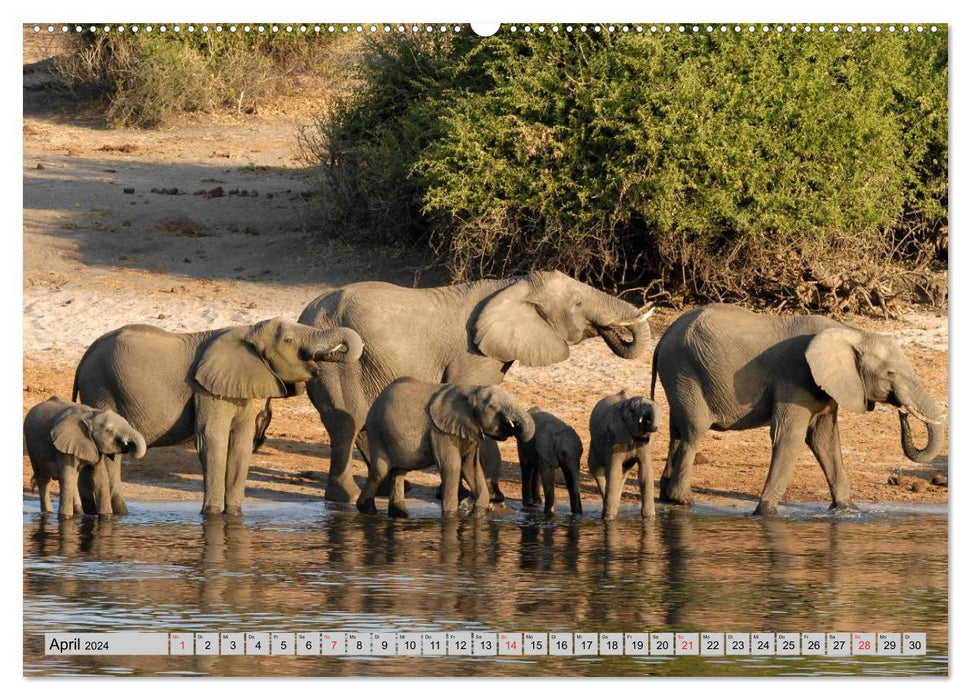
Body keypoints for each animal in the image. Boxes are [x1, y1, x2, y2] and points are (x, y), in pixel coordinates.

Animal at [74, 318, 364, 516]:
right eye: (289, 341)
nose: (330, 354)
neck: (248, 331)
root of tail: (85, 356)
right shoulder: (206, 390)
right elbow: (212, 441)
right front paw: (211, 516)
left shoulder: (239, 388)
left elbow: (241, 444)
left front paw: (234, 516)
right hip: (100, 387)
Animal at [296, 270, 652, 504]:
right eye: (578, 303)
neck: (511, 285)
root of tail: (306, 313)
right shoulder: (473, 353)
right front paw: (481, 497)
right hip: (337, 364)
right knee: (346, 423)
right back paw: (345, 498)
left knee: (362, 424)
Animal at [358, 378, 540, 520]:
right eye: (492, 406)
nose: (514, 426)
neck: (472, 390)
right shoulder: (440, 430)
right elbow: (452, 466)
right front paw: (451, 517)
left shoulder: (470, 429)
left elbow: (471, 467)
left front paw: (477, 515)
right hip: (377, 430)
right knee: (380, 471)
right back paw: (366, 510)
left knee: (399, 472)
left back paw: (399, 514)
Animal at [648, 304, 944, 516]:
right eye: (890, 373)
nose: (903, 413)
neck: (851, 333)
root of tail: (663, 338)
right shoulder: (794, 377)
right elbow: (789, 436)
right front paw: (764, 513)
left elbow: (824, 439)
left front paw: (848, 509)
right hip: (684, 370)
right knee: (694, 430)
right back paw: (683, 500)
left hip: (679, 374)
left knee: (677, 430)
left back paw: (668, 497)